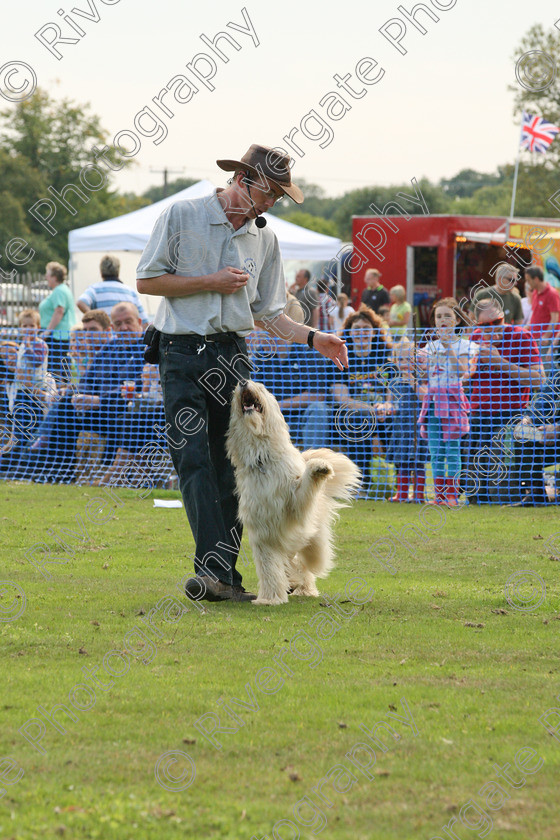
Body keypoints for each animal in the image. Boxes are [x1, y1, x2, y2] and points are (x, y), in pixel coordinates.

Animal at [225, 380, 360, 604]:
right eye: (236, 390)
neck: (262, 457)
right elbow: (269, 569)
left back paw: (304, 587)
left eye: (260, 387)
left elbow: (303, 486)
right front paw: (270, 598)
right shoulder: (264, 533)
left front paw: (318, 467)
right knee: (293, 564)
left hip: (314, 541)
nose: (243, 382)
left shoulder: (295, 502)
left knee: (306, 563)